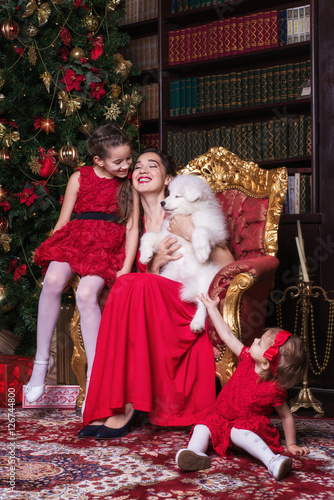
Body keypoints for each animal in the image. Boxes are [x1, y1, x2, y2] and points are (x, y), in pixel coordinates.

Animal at [139, 174, 230, 334]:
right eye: (169, 194)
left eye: (178, 196)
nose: (162, 202)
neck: (187, 213)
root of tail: (185, 281)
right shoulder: (167, 236)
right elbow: (148, 236)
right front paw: (145, 255)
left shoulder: (215, 231)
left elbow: (199, 230)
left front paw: (202, 253)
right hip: (168, 275)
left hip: (205, 281)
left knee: (204, 305)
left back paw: (197, 323)